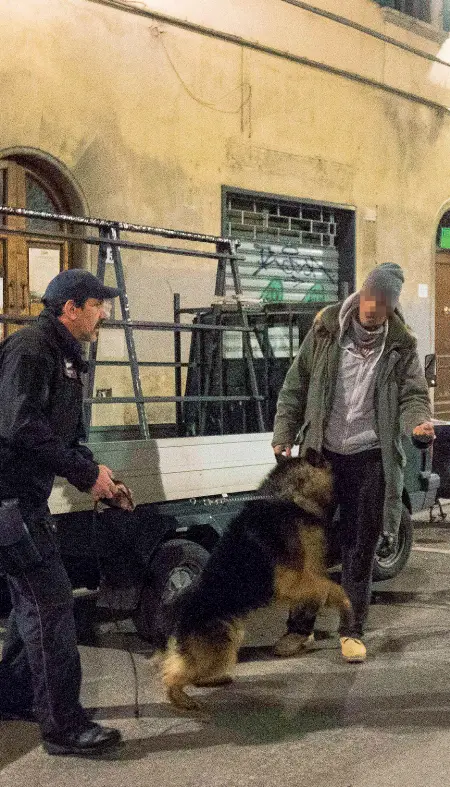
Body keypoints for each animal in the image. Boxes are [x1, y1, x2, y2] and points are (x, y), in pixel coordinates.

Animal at [160, 450, 354, 716]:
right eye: (337, 466)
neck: (289, 497)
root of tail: (179, 610)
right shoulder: (291, 580)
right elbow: (333, 587)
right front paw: (345, 605)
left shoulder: (307, 574)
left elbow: (323, 587)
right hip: (218, 647)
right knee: (172, 674)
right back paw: (181, 698)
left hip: (228, 640)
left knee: (187, 669)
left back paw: (213, 680)